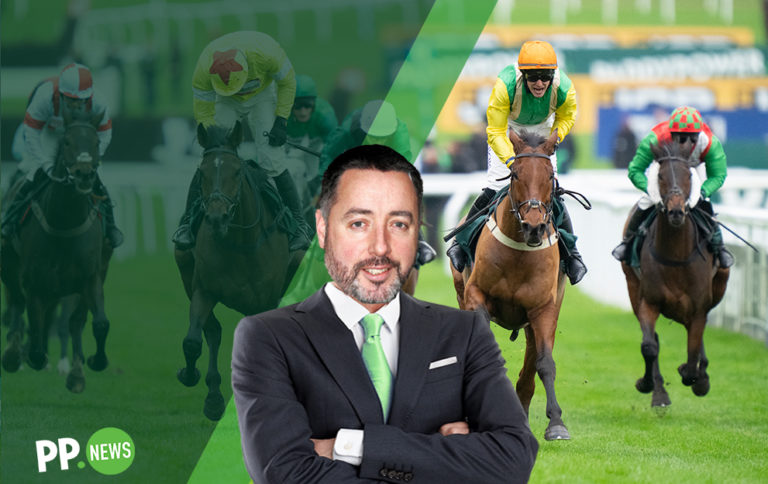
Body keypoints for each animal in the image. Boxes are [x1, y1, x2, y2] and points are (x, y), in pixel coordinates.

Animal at [1, 108, 113, 393]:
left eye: (96, 143)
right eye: (67, 142)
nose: (84, 174)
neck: (65, 223)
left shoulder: (91, 277)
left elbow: (96, 322)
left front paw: (88, 364)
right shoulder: (35, 282)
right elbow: (35, 329)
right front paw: (30, 357)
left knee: (70, 321)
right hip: (10, 266)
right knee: (17, 303)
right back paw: (14, 354)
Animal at [175, 122, 302, 421]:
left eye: (236, 171)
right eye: (201, 172)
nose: (217, 217)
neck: (240, 244)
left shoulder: (265, 301)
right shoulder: (203, 290)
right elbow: (193, 341)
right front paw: (191, 375)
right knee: (213, 331)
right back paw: (213, 397)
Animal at [450, 129, 571, 441]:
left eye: (550, 175)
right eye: (515, 174)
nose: (533, 226)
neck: (519, 253)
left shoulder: (544, 308)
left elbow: (545, 362)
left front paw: (556, 424)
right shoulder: (475, 294)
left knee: (531, 363)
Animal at [619, 141, 730, 408]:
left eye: (688, 175)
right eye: (660, 176)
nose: (676, 212)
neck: (676, 256)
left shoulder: (699, 307)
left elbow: (691, 358)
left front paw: (698, 379)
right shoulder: (649, 301)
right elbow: (650, 346)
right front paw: (650, 386)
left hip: (718, 287)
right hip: (632, 285)